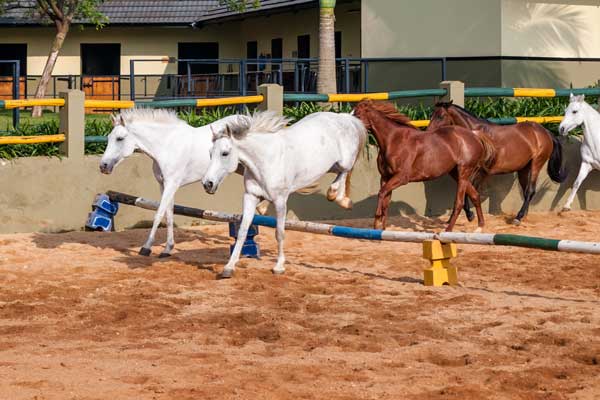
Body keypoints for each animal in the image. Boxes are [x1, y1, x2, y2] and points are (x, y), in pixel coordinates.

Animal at [99, 108, 250, 256]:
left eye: (119, 138)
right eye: (108, 138)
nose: (103, 166)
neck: (167, 146)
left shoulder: (171, 185)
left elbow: (159, 214)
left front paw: (146, 247)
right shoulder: (164, 185)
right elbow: (169, 215)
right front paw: (167, 249)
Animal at [202, 109, 366, 278]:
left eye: (225, 153)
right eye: (210, 153)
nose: (208, 184)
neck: (265, 161)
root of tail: (344, 117)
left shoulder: (280, 201)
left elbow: (279, 233)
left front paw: (279, 266)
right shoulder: (250, 196)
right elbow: (242, 231)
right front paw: (229, 267)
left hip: (344, 161)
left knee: (345, 171)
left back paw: (338, 197)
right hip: (331, 166)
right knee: (341, 174)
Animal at [354, 100, 494, 231]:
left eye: (358, 115)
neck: (393, 140)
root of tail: (474, 135)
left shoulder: (401, 177)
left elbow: (382, 193)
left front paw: (377, 220)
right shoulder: (385, 177)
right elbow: (385, 200)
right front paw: (380, 228)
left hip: (464, 172)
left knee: (459, 203)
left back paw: (448, 230)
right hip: (457, 174)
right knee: (475, 195)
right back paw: (480, 226)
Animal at [428, 101, 564, 223]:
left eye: (441, 116)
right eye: (431, 115)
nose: (429, 132)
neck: (477, 136)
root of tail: (545, 132)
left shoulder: (480, 171)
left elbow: (468, 189)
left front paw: (469, 215)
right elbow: (467, 188)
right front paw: (457, 218)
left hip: (536, 164)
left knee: (530, 190)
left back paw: (518, 218)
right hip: (524, 169)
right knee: (526, 191)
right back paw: (524, 215)